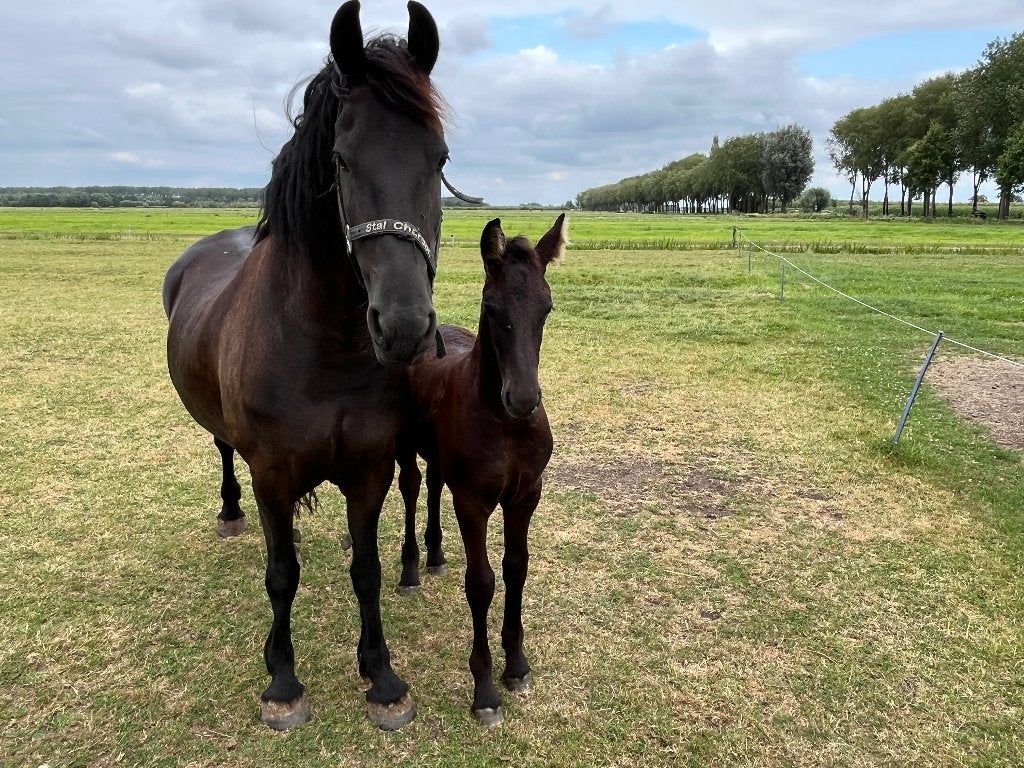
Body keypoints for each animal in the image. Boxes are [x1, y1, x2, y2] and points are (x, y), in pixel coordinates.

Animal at [162, 1, 451, 731]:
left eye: (440, 157)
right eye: (342, 160)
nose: (403, 326)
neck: (324, 352)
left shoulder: (371, 470)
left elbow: (368, 570)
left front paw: (382, 677)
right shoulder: (271, 473)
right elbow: (281, 575)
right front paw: (283, 680)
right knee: (225, 457)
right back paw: (231, 513)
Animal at [395, 214, 566, 724]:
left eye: (547, 308)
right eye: (491, 308)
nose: (523, 399)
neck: (504, 424)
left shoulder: (526, 495)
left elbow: (516, 567)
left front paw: (518, 666)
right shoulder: (473, 501)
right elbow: (482, 583)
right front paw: (485, 689)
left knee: (433, 486)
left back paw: (434, 555)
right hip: (404, 447)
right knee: (411, 487)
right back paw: (411, 568)